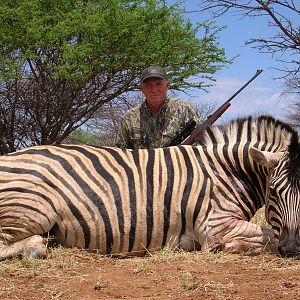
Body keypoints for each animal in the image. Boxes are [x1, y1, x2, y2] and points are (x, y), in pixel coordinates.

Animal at [0, 115, 298, 260]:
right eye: (274, 191)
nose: (293, 249)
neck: (227, 171)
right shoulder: (215, 226)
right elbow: (267, 236)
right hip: (32, 210)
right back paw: (36, 248)